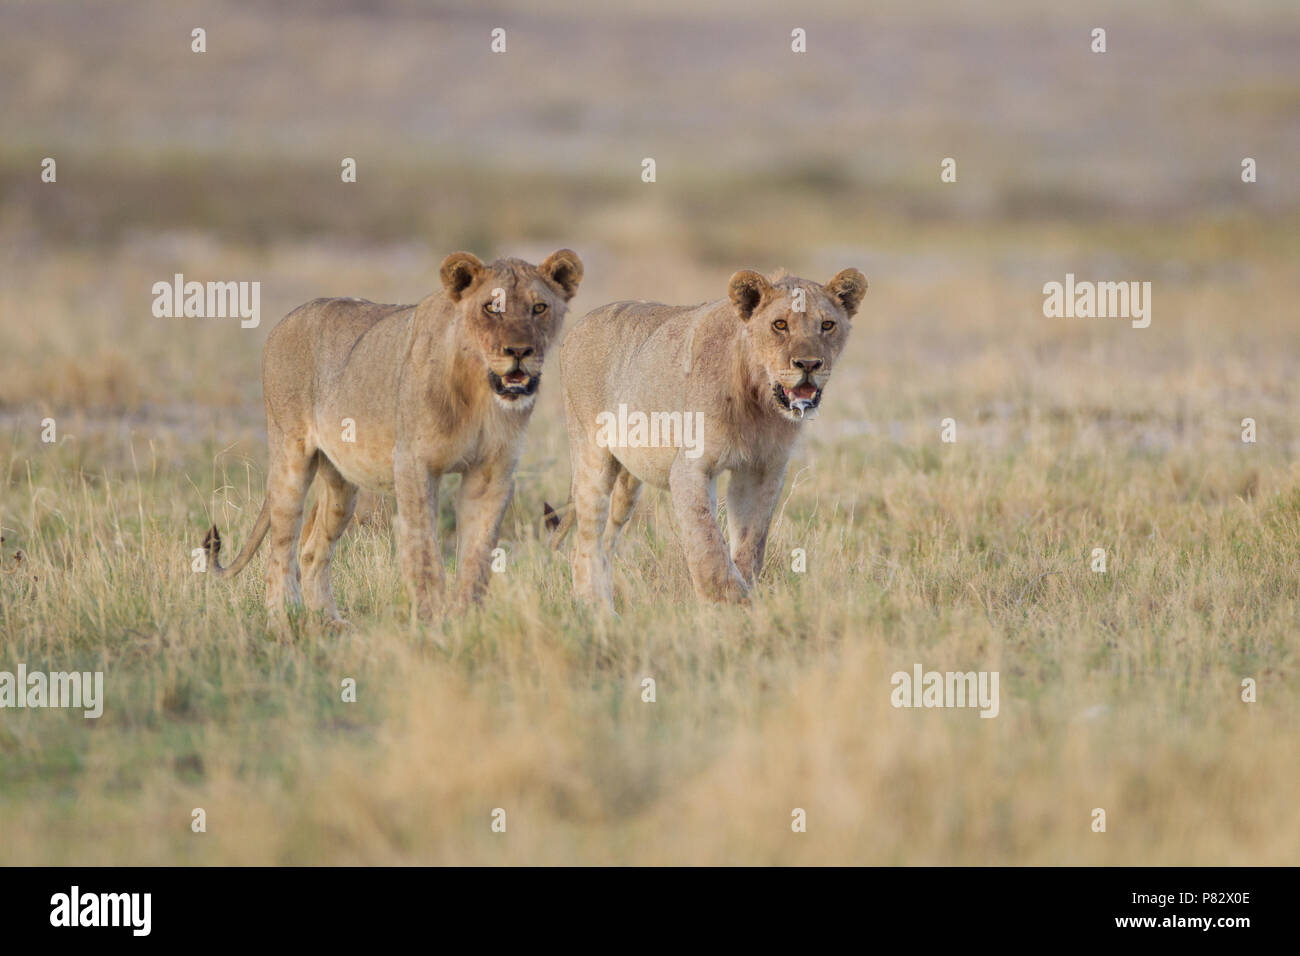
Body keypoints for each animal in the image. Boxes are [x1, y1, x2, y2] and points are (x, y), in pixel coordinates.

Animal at [204, 248, 585, 621]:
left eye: (539, 307)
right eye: (492, 307)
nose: (519, 352)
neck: (479, 392)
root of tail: (287, 319)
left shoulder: (492, 473)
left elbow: (478, 557)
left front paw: (467, 621)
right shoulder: (414, 464)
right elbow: (424, 551)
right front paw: (432, 622)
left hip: (341, 485)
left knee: (313, 548)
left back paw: (329, 623)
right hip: (290, 456)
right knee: (280, 549)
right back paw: (283, 621)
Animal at [546, 265, 863, 608]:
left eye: (827, 325)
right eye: (780, 325)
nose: (809, 364)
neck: (759, 402)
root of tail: (578, 326)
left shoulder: (763, 470)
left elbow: (751, 541)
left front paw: (745, 595)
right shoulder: (690, 468)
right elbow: (707, 539)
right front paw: (729, 602)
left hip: (628, 481)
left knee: (604, 544)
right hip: (593, 460)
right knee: (584, 545)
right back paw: (597, 611)